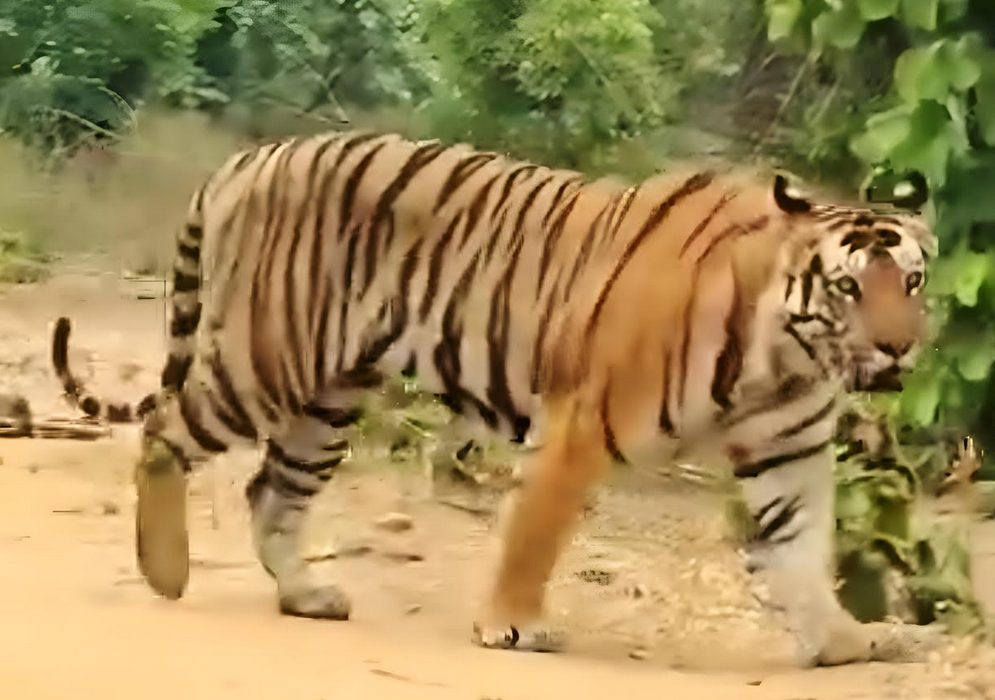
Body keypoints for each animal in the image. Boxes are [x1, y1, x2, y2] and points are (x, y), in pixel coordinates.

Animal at [51, 128, 940, 667]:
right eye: (849, 288)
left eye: (912, 281)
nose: (900, 347)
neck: (786, 352)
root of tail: (247, 158)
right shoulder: (580, 421)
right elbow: (534, 534)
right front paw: (511, 624)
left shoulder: (790, 453)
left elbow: (802, 547)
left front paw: (842, 641)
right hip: (263, 360)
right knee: (165, 429)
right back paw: (166, 572)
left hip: (331, 394)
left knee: (272, 490)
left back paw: (306, 596)